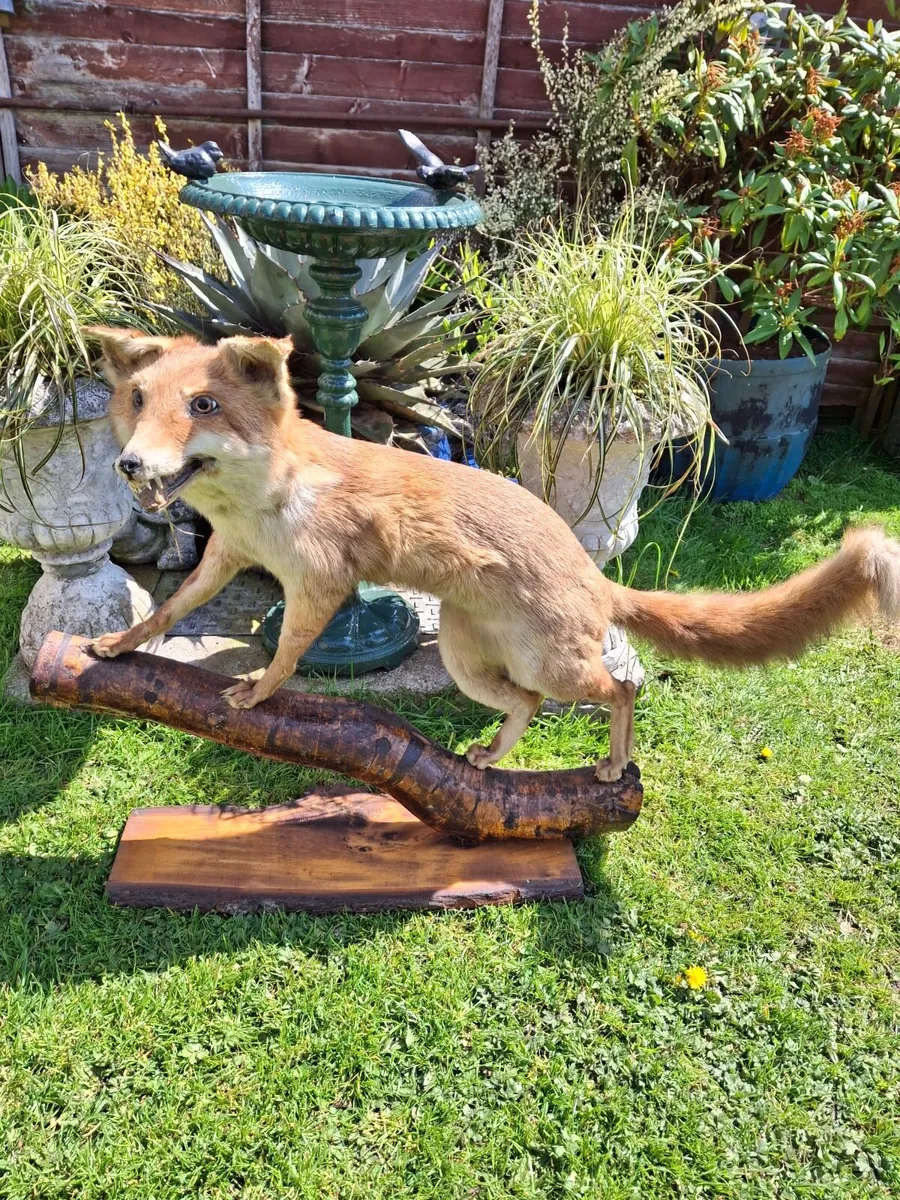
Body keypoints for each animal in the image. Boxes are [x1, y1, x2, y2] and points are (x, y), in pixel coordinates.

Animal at [85, 326, 900, 782]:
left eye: (203, 406)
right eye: (137, 400)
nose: (128, 464)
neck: (264, 505)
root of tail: (593, 577)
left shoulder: (322, 581)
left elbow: (286, 654)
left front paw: (255, 692)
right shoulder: (225, 560)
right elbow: (166, 614)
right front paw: (114, 646)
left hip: (554, 665)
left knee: (620, 690)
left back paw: (613, 764)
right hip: (469, 661)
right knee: (528, 706)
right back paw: (492, 757)